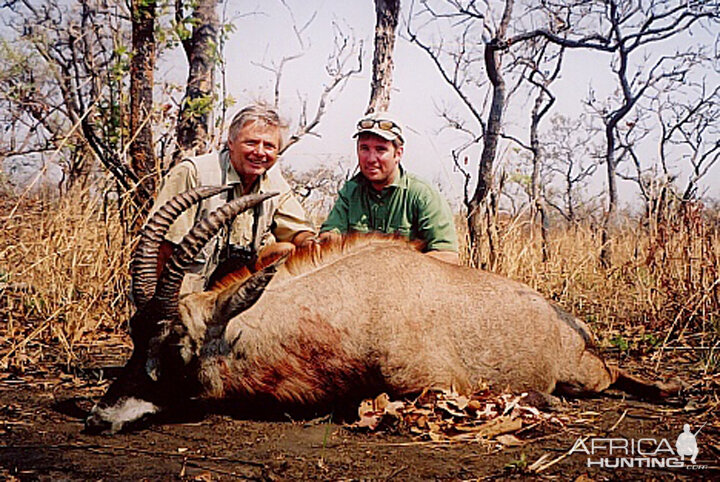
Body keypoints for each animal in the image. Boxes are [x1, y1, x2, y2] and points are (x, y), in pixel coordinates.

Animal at [86, 185, 680, 434]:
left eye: (175, 342)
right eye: (135, 335)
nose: (99, 417)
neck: (352, 306)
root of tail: (568, 323)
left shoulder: (433, 385)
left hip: (586, 375)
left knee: (616, 375)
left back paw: (671, 390)